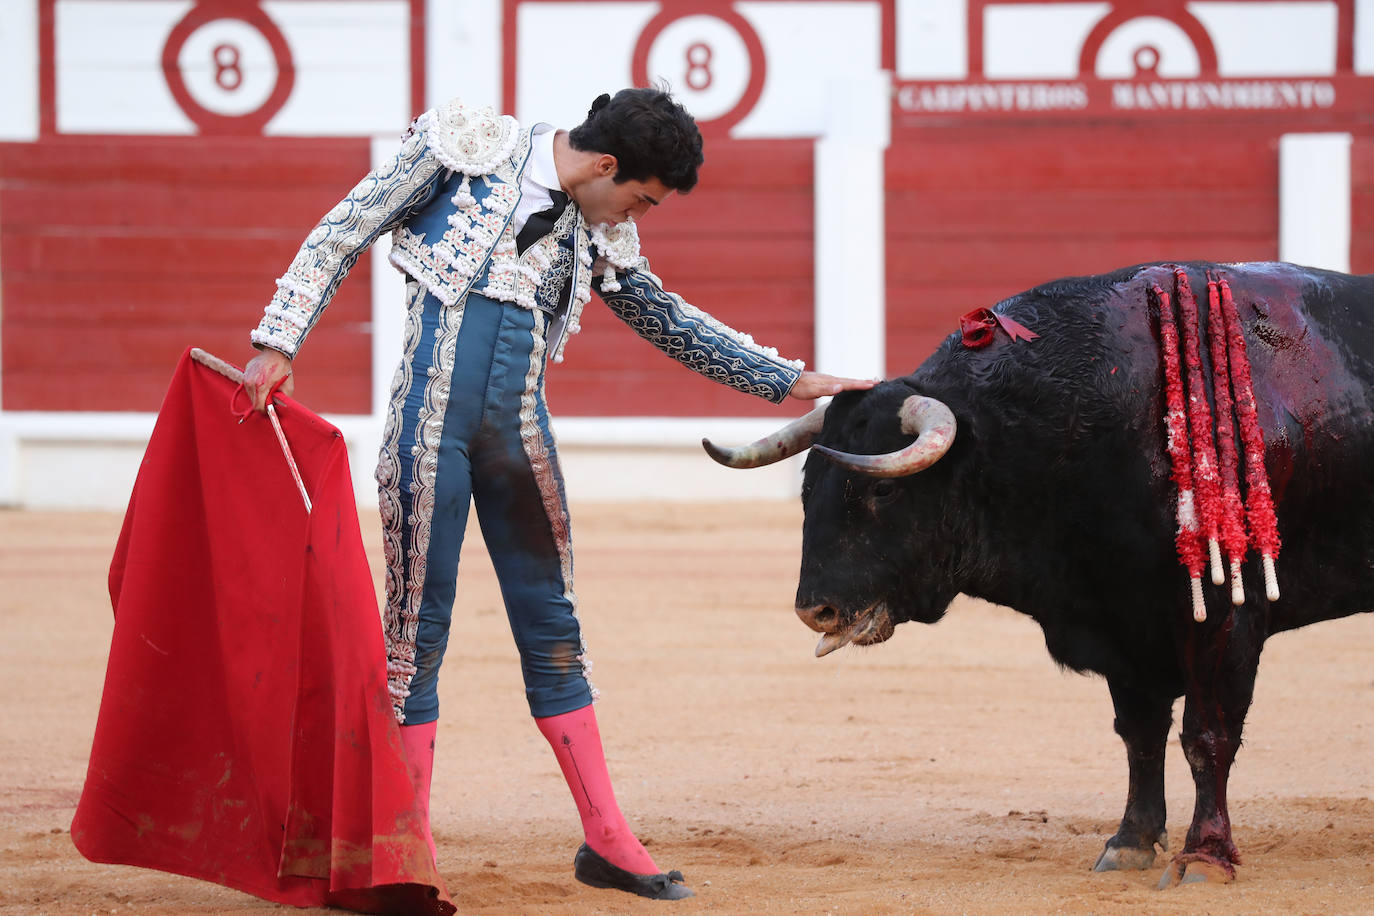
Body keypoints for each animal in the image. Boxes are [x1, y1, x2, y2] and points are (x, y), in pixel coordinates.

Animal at [708, 263, 1374, 889]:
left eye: (880, 490)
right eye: (807, 487)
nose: (813, 609)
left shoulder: (1226, 611)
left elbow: (1207, 734)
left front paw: (1205, 858)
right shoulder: (1122, 621)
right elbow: (1139, 733)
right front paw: (1129, 843)